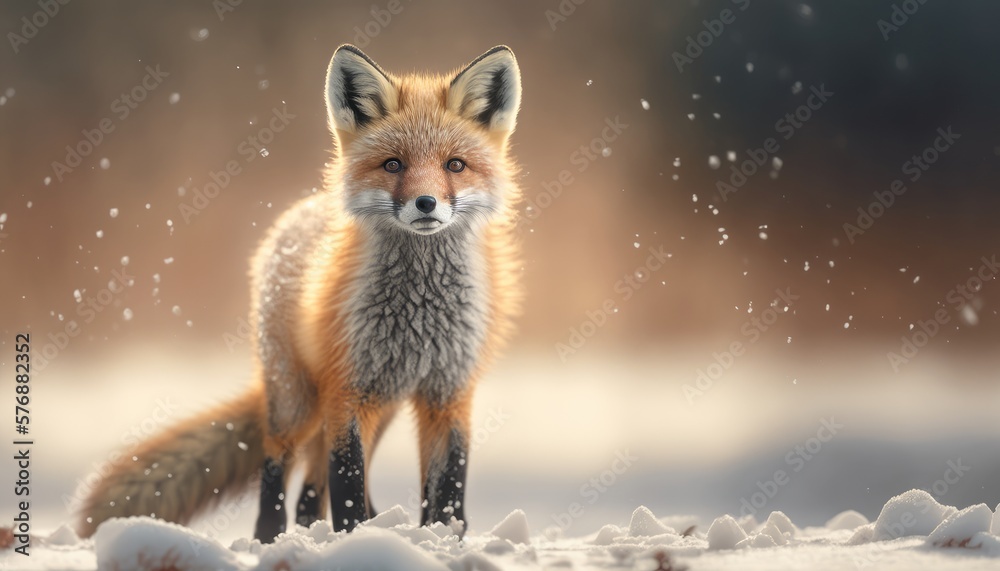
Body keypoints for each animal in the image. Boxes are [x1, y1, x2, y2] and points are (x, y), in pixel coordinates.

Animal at [75, 44, 523, 542]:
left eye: (454, 165)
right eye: (393, 165)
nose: (426, 204)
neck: (419, 313)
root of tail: (297, 213)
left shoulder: (449, 391)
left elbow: (448, 489)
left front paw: (441, 539)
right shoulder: (348, 391)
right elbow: (346, 482)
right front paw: (356, 539)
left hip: (375, 406)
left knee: (312, 489)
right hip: (299, 402)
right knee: (280, 466)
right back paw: (272, 536)